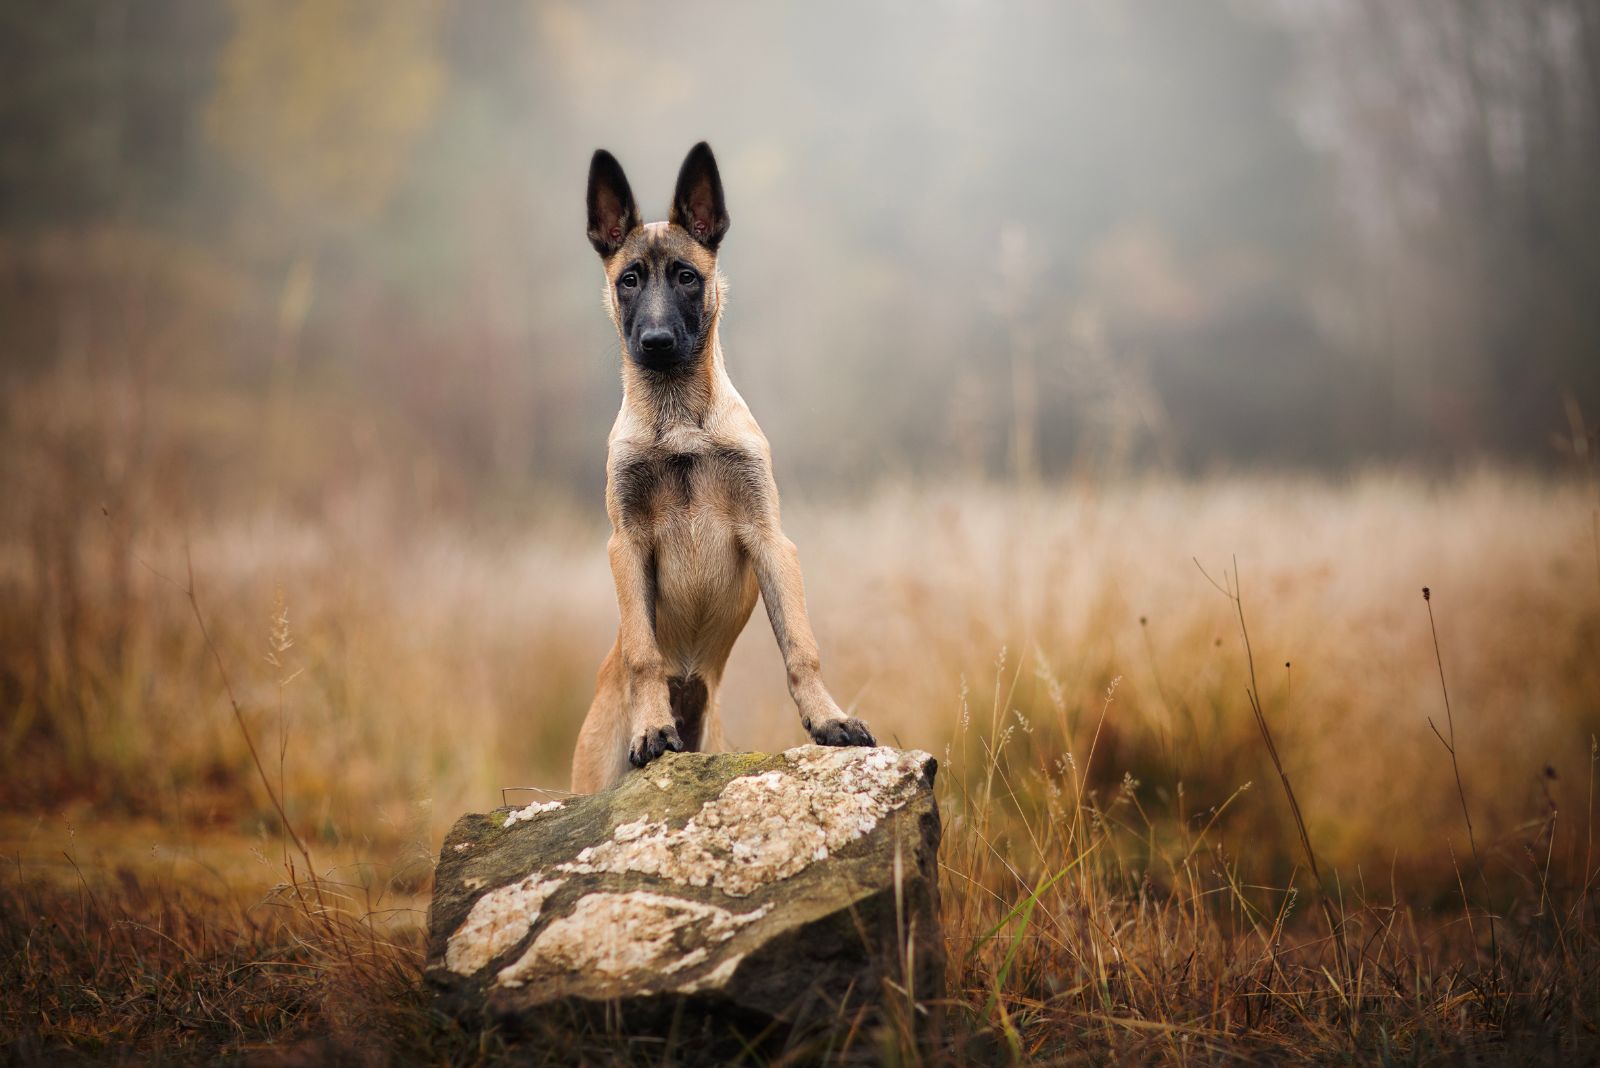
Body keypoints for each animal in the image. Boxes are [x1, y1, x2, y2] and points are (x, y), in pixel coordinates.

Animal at [572, 141, 883, 793]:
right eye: (629, 280)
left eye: (687, 277)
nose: (657, 342)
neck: (678, 423)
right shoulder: (625, 544)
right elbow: (643, 651)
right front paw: (651, 727)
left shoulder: (770, 538)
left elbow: (801, 645)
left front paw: (829, 719)